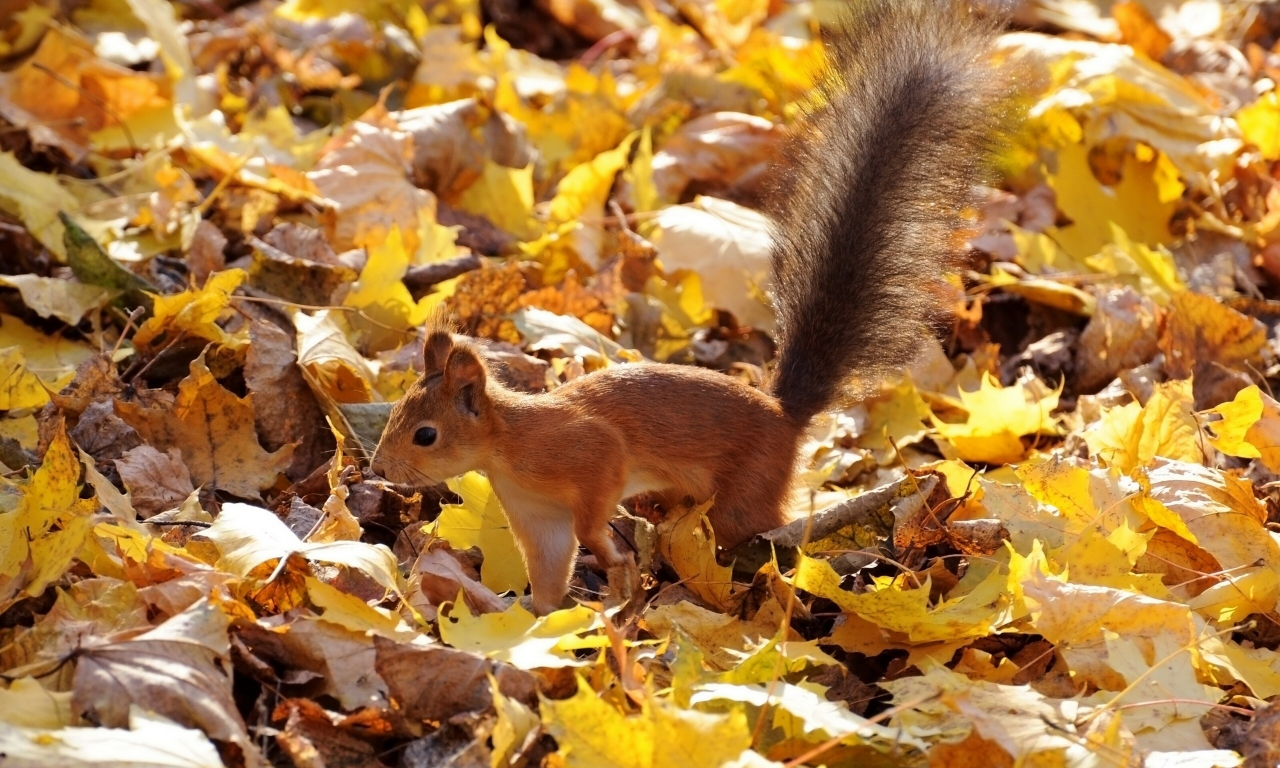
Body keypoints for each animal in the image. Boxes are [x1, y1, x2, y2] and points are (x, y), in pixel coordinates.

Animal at [373, 0, 1018, 614]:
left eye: (426, 434)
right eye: (398, 413)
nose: (378, 471)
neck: (508, 446)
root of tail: (784, 415)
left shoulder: (590, 454)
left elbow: (595, 507)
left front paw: (608, 555)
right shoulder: (537, 514)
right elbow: (550, 567)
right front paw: (539, 616)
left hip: (744, 492)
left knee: (761, 532)